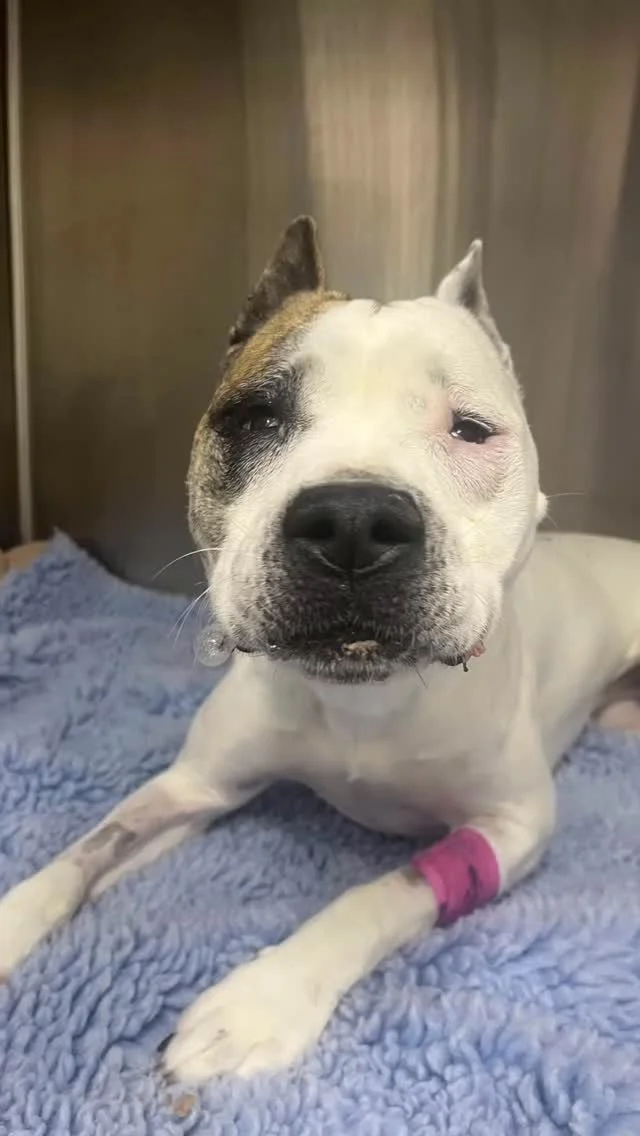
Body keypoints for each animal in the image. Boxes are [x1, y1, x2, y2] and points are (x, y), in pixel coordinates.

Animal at [1, 217, 639, 1084]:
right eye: (254, 419)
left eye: (470, 428)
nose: (353, 522)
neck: (361, 697)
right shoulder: (196, 785)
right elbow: (88, 850)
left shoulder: (510, 828)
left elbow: (381, 893)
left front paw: (256, 1003)